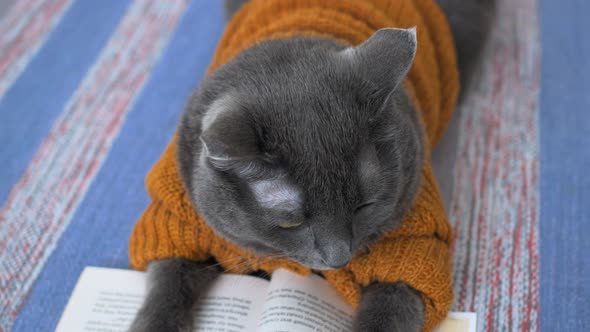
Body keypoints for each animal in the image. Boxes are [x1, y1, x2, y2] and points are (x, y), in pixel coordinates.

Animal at [128, 1, 494, 330]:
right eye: (290, 222)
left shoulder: (416, 241)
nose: (339, 258)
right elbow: (167, 278)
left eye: (364, 206)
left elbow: (394, 304)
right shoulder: (174, 214)